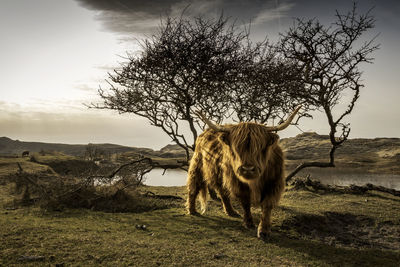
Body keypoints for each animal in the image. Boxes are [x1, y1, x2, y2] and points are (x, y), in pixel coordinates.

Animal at [187, 106, 300, 241]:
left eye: (260, 147)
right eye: (237, 148)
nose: (248, 169)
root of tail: (204, 133)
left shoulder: (273, 183)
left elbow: (267, 205)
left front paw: (264, 231)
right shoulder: (238, 182)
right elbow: (245, 202)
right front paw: (249, 223)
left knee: (222, 191)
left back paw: (231, 212)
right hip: (197, 165)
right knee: (194, 187)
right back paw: (192, 210)